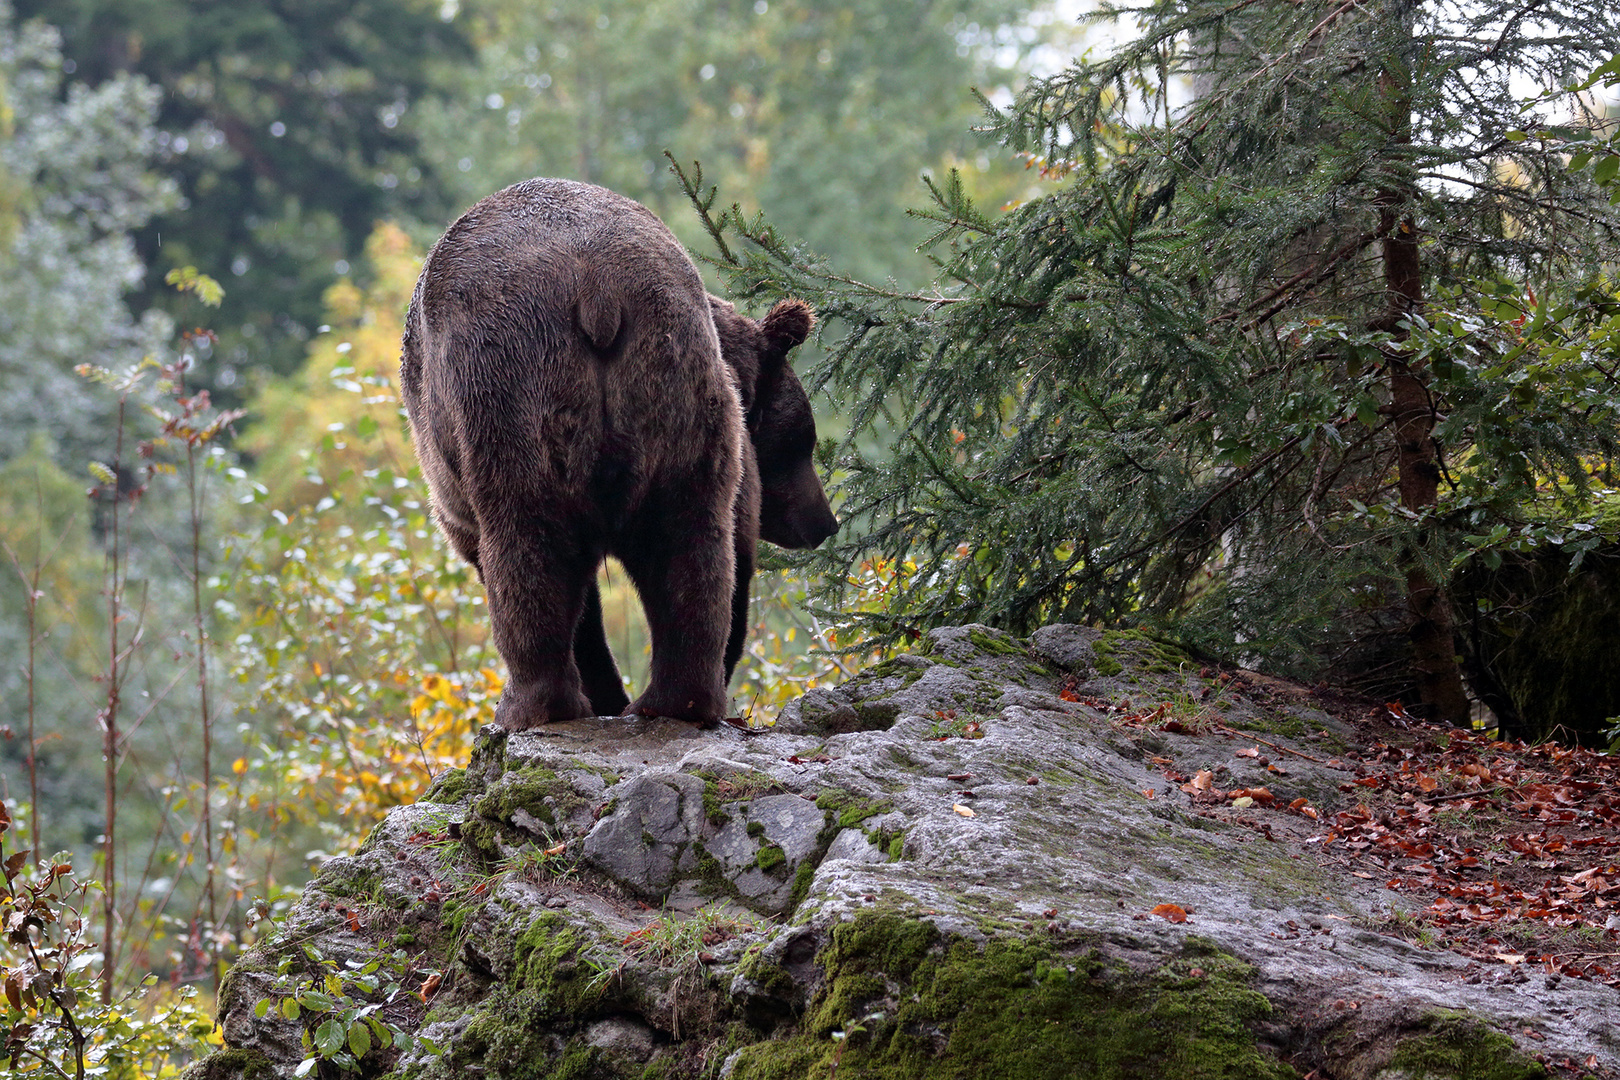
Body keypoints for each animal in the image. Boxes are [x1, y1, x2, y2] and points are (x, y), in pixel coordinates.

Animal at [401, 179, 835, 735]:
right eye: (805, 442)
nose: (825, 522)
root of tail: (597, 289)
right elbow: (734, 554)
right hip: (675, 387)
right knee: (688, 543)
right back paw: (678, 699)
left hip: (508, 389)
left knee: (528, 540)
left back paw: (533, 703)